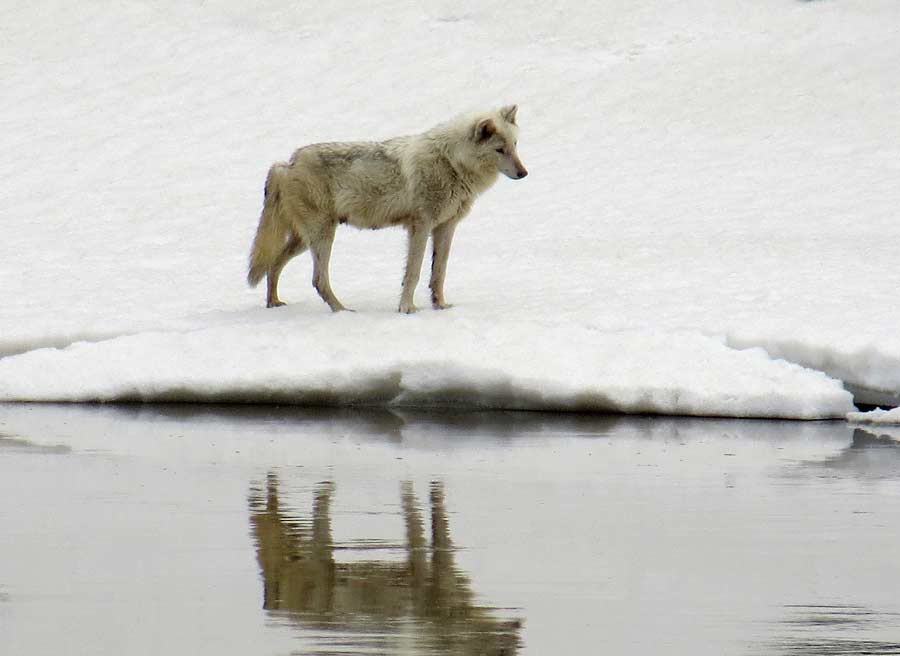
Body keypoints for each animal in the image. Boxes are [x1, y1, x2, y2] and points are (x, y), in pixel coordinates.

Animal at [246, 104, 528, 312]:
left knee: (274, 263)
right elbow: (413, 273)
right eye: (499, 149)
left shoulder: (446, 228)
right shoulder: (420, 227)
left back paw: (274, 303)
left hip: (305, 240)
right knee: (317, 279)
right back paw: (342, 311)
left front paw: (440, 306)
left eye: (515, 146)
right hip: (322, 236)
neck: (452, 163)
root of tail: (286, 164)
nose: (524, 173)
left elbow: (439, 273)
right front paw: (407, 308)